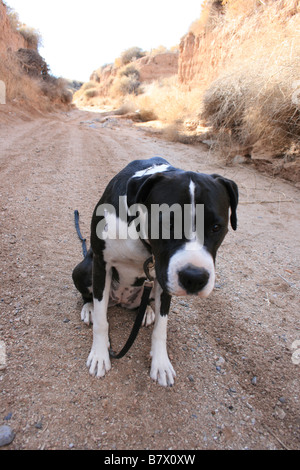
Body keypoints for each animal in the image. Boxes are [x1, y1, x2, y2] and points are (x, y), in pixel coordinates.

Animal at [72, 158, 239, 386]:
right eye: (168, 223)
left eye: (216, 227)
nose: (195, 278)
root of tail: (120, 301)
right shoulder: (101, 263)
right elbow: (101, 320)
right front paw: (99, 355)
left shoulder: (163, 276)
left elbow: (161, 326)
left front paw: (161, 363)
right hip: (84, 269)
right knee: (92, 298)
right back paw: (89, 307)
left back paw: (146, 311)